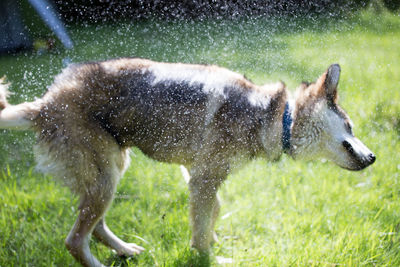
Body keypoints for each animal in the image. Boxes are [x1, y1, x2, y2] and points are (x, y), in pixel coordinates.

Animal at [0, 59, 376, 267]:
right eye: (351, 126)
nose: (374, 157)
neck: (271, 116)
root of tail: (43, 104)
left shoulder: (197, 175)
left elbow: (214, 211)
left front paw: (214, 239)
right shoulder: (204, 179)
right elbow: (200, 234)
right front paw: (211, 256)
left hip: (111, 173)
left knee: (96, 227)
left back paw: (127, 251)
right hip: (106, 178)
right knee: (75, 241)